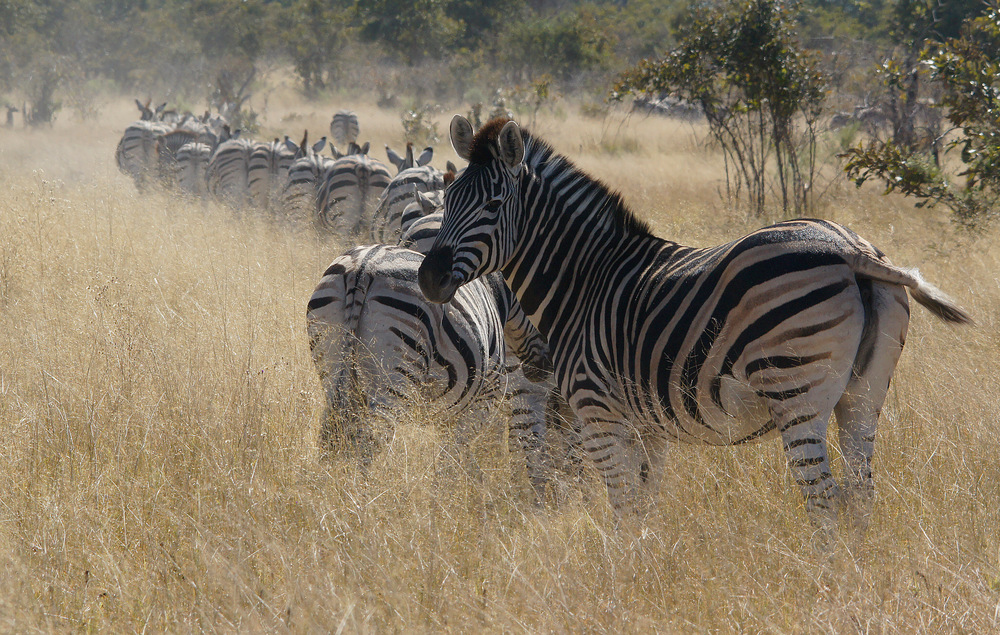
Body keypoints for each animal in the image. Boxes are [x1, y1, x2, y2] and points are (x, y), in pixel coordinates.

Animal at [418, 115, 972, 536]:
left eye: (493, 206)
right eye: (448, 200)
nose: (428, 278)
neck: (586, 280)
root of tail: (851, 248)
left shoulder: (598, 413)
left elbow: (621, 507)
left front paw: (618, 583)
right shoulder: (647, 424)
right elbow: (644, 505)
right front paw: (646, 571)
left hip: (796, 393)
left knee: (822, 498)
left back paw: (827, 585)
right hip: (864, 395)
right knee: (860, 493)